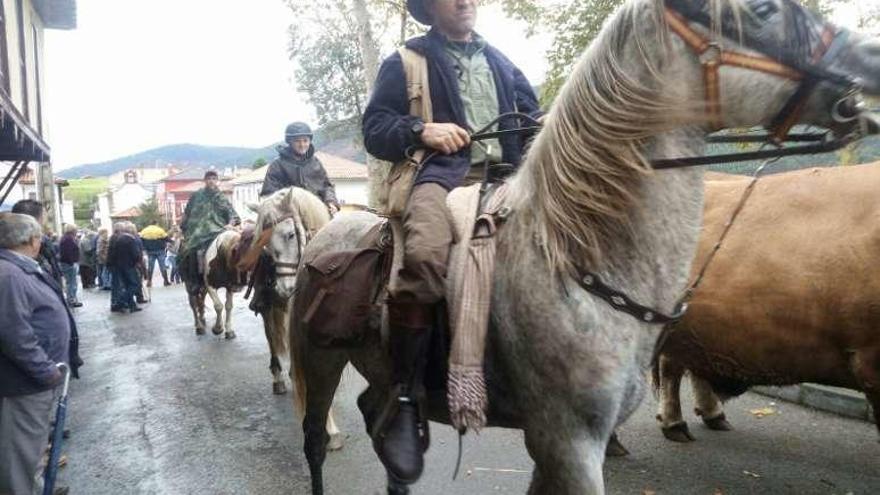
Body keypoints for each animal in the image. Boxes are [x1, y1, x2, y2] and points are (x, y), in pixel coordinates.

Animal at [288, 1, 880, 494]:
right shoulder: (570, 443)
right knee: (314, 440)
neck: (577, 259)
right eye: (761, 11)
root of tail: (325, 236)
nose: (870, 60)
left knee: (375, 415)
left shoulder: (558, 448)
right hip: (320, 359)